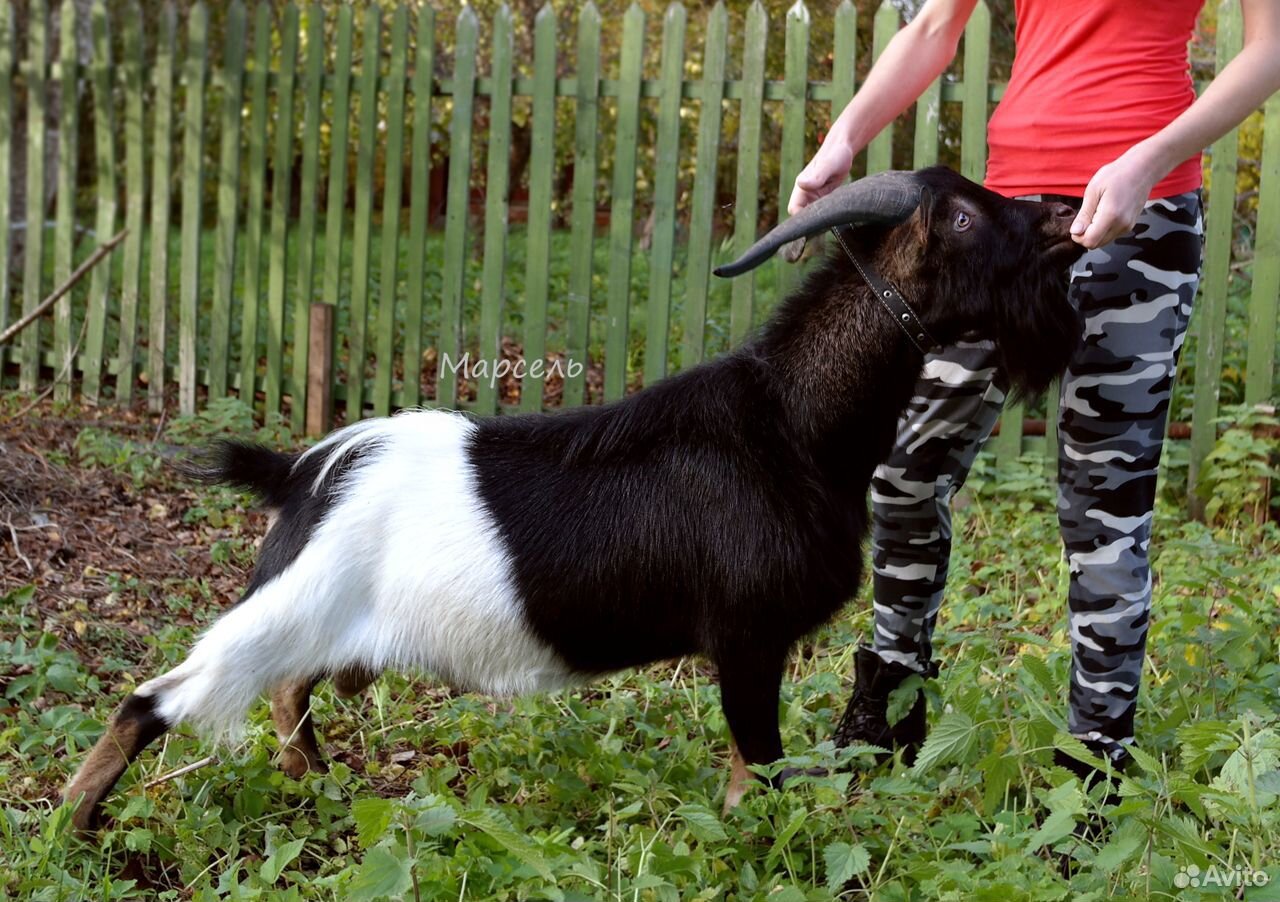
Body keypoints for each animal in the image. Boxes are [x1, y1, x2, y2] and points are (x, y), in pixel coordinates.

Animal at [64, 165, 1085, 829]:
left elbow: (746, 772)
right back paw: (72, 831)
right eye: (962, 218)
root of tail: (302, 472)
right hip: (288, 607)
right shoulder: (748, 635)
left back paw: (317, 786)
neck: (791, 424)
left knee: (287, 692)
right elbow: (758, 766)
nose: (1062, 215)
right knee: (157, 699)